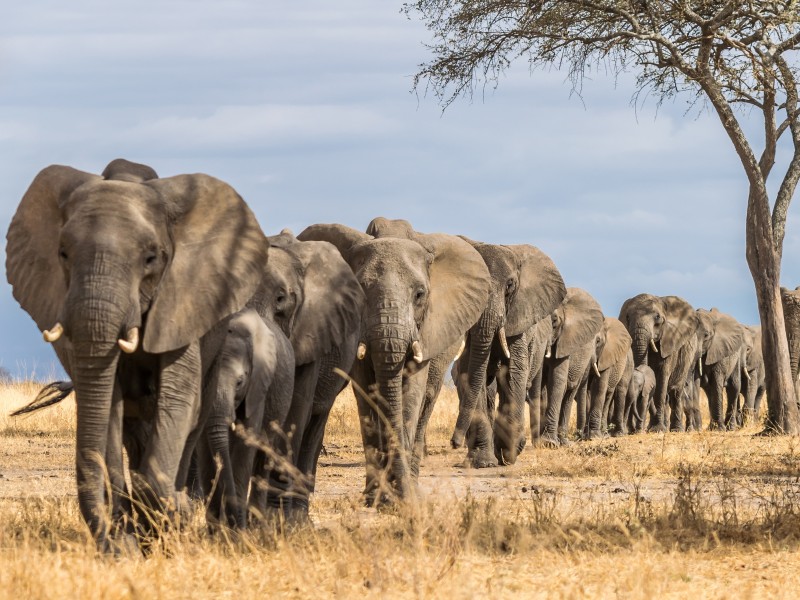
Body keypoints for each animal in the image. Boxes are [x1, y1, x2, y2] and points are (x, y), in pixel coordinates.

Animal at [5, 159, 266, 550]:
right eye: (63, 254)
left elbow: (178, 399)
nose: (109, 542)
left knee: (192, 421)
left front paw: (172, 513)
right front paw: (126, 542)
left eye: (150, 258)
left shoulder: (182, 302)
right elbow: (107, 406)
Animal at [195, 308, 295, 529]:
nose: (234, 523)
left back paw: (255, 522)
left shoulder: (258, 385)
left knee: (264, 454)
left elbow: (246, 441)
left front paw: (235, 529)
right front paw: (214, 529)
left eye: (240, 382)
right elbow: (206, 448)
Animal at [298, 223, 490, 504]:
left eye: (420, 294)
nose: (455, 444)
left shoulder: (427, 330)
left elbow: (411, 395)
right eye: (359, 291)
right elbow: (367, 395)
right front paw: (376, 498)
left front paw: (400, 497)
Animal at [539, 288, 605, 447]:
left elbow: (557, 380)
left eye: (554, 321)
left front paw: (549, 443)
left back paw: (563, 442)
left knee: (569, 392)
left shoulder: (565, 341)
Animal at [618, 294, 700, 432]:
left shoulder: (669, 341)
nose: (633, 429)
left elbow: (661, 378)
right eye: (627, 317)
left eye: (657, 317)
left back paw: (676, 429)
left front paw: (657, 429)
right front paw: (649, 429)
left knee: (676, 392)